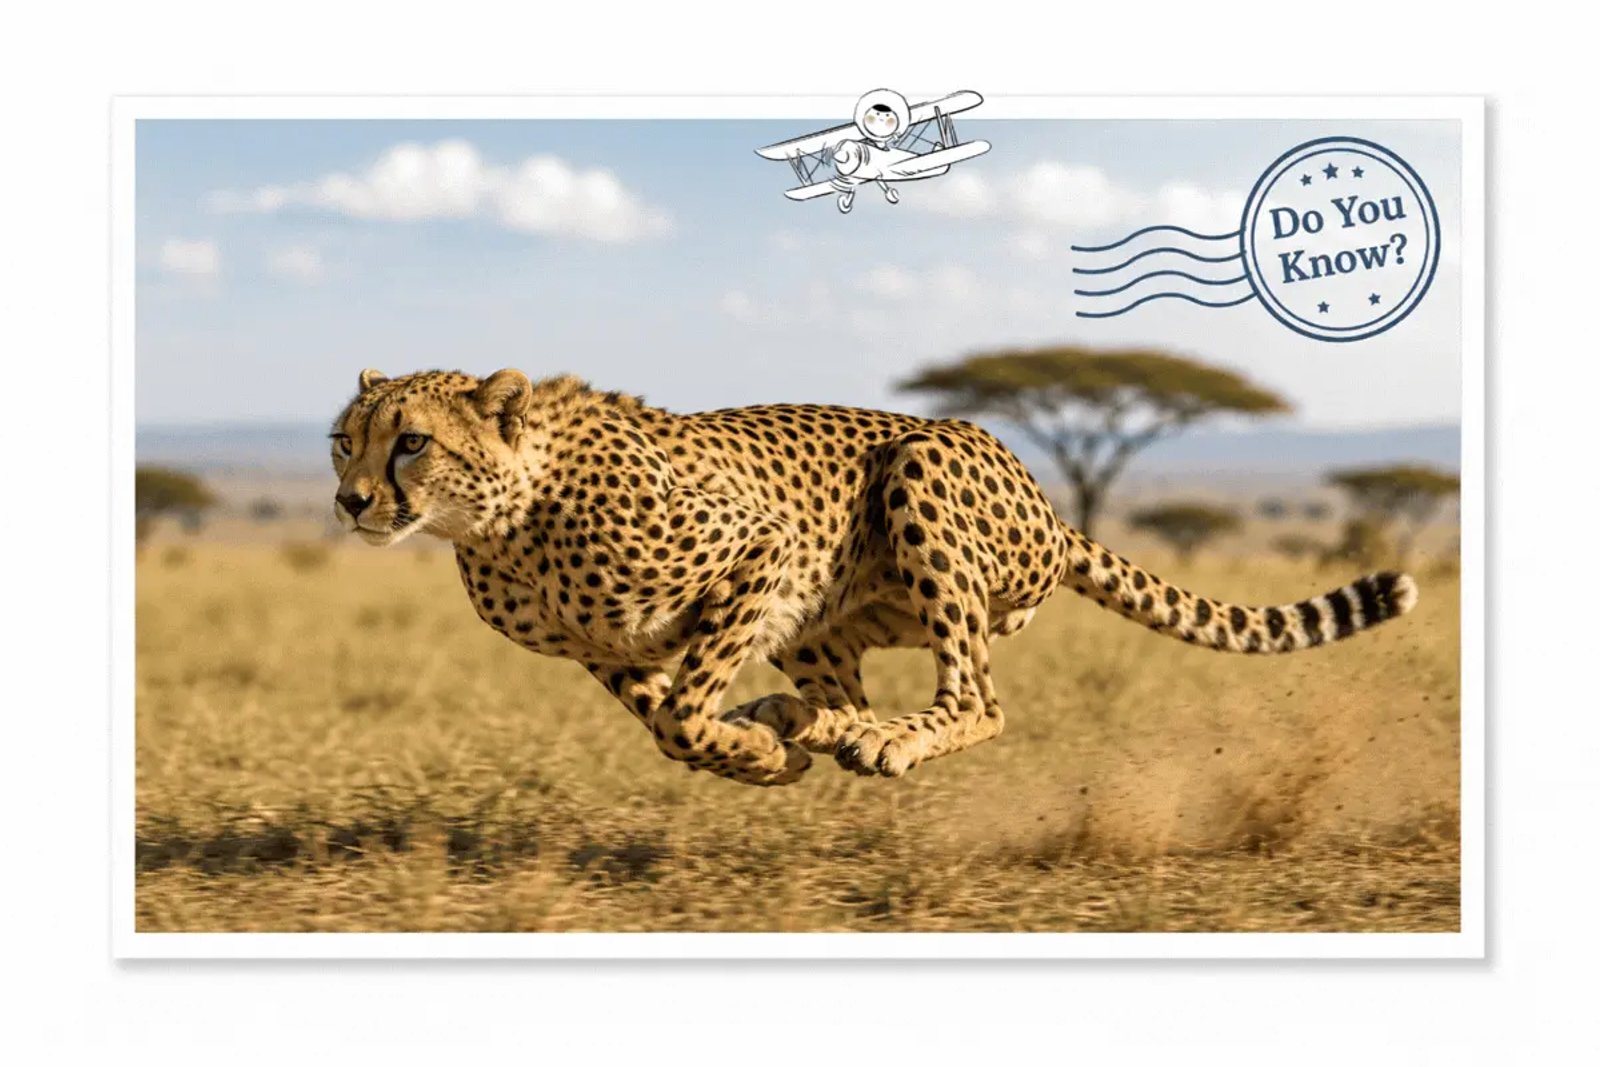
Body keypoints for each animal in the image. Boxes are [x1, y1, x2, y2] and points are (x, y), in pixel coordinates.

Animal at [330, 367, 1419, 787]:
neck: (503, 522)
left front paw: (748, 749)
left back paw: (879, 737)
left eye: (411, 442)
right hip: (822, 620)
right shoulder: (607, 646)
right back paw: (811, 721)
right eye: (344, 440)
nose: (346, 500)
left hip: (923, 468)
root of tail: (1049, 503)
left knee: (977, 696)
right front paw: (757, 752)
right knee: (850, 692)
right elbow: (667, 717)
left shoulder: (764, 546)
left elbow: (682, 710)